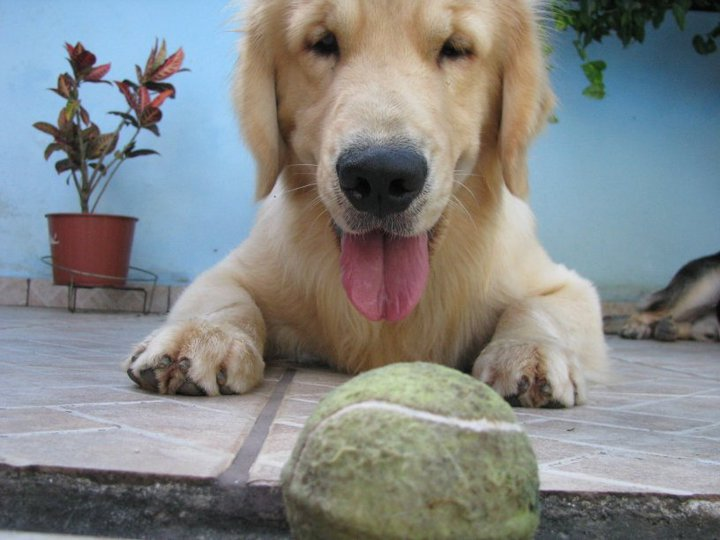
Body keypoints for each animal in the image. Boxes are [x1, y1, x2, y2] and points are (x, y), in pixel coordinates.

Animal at [124, 0, 608, 408]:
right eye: (323, 43)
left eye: (455, 48)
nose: (379, 176)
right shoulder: (235, 268)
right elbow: (225, 296)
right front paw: (202, 336)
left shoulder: (566, 285)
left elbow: (535, 307)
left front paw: (527, 351)